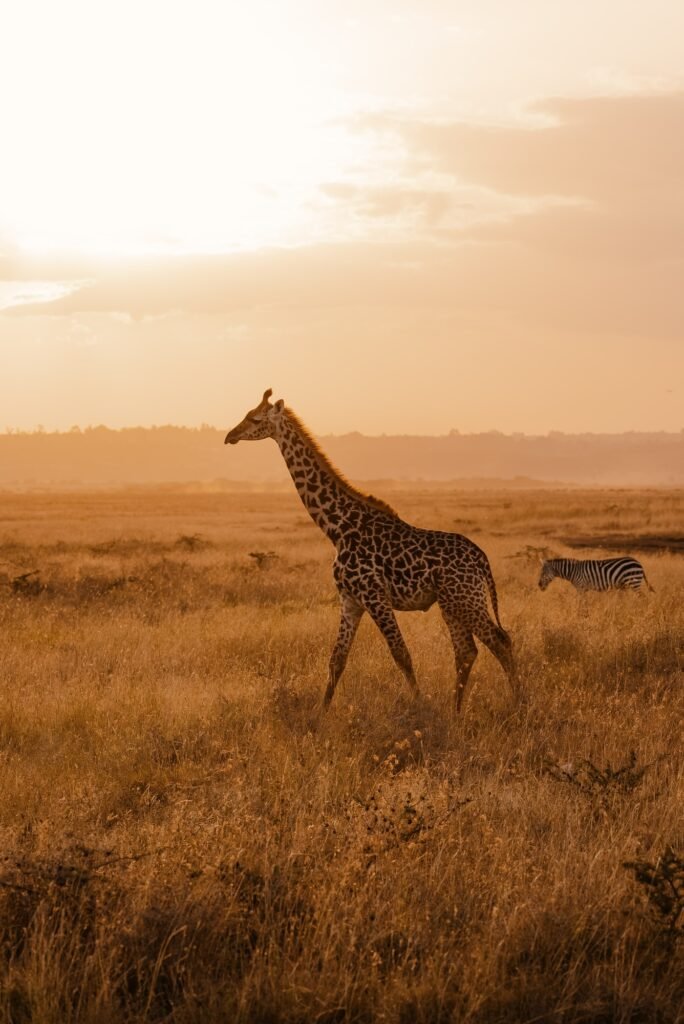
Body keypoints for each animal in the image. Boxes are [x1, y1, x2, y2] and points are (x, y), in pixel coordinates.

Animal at [225, 390, 517, 711]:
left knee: (501, 641)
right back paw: (456, 712)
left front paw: (421, 706)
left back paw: (520, 703)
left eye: (255, 419)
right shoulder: (350, 599)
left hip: (465, 599)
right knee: (466, 652)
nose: (230, 436)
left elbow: (401, 654)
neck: (338, 528)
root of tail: (482, 560)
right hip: (452, 602)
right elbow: (337, 660)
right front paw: (320, 713)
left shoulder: (375, 595)